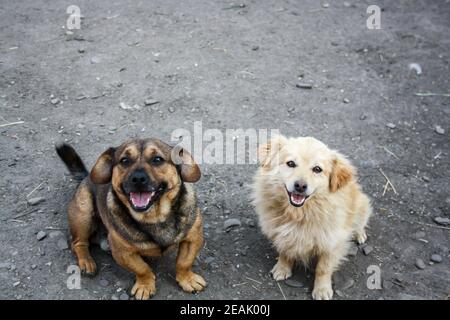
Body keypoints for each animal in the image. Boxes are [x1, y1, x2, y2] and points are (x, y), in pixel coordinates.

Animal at [55, 138, 207, 300]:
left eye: (157, 159)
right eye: (125, 161)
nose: (138, 178)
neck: (154, 217)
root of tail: (85, 177)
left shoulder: (193, 238)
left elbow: (184, 262)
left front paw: (187, 279)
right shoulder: (122, 252)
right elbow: (142, 268)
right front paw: (145, 285)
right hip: (84, 213)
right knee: (78, 243)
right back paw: (86, 262)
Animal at [251, 135, 370, 300]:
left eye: (317, 169)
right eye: (290, 163)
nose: (300, 186)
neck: (299, 214)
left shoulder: (331, 243)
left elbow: (323, 269)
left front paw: (322, 289)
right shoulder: (281, 234)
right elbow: (284, 252)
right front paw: (282, 268)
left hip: (361, 206)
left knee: (360, 224)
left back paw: (359, 235)